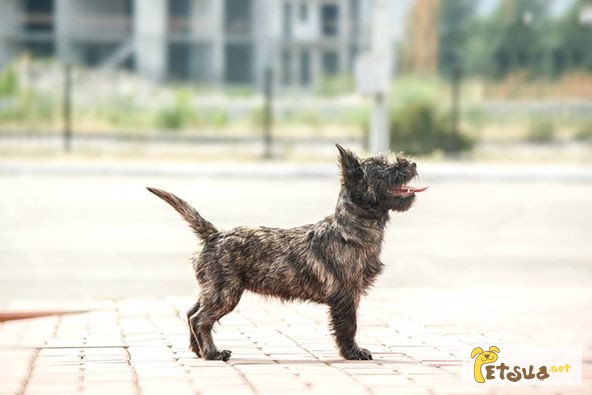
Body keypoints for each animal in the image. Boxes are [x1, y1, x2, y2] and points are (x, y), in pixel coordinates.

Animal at [147, 145, 426, 362]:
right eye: (384, 169)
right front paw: (353, 353)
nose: (412, 163)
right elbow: (349, 326)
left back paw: (198, 350)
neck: (351, 229)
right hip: (225, 294)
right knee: (200, 319)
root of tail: (214, 235)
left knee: (191, 313)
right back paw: (213, 353)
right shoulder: (346, 295)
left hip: (213, 290)